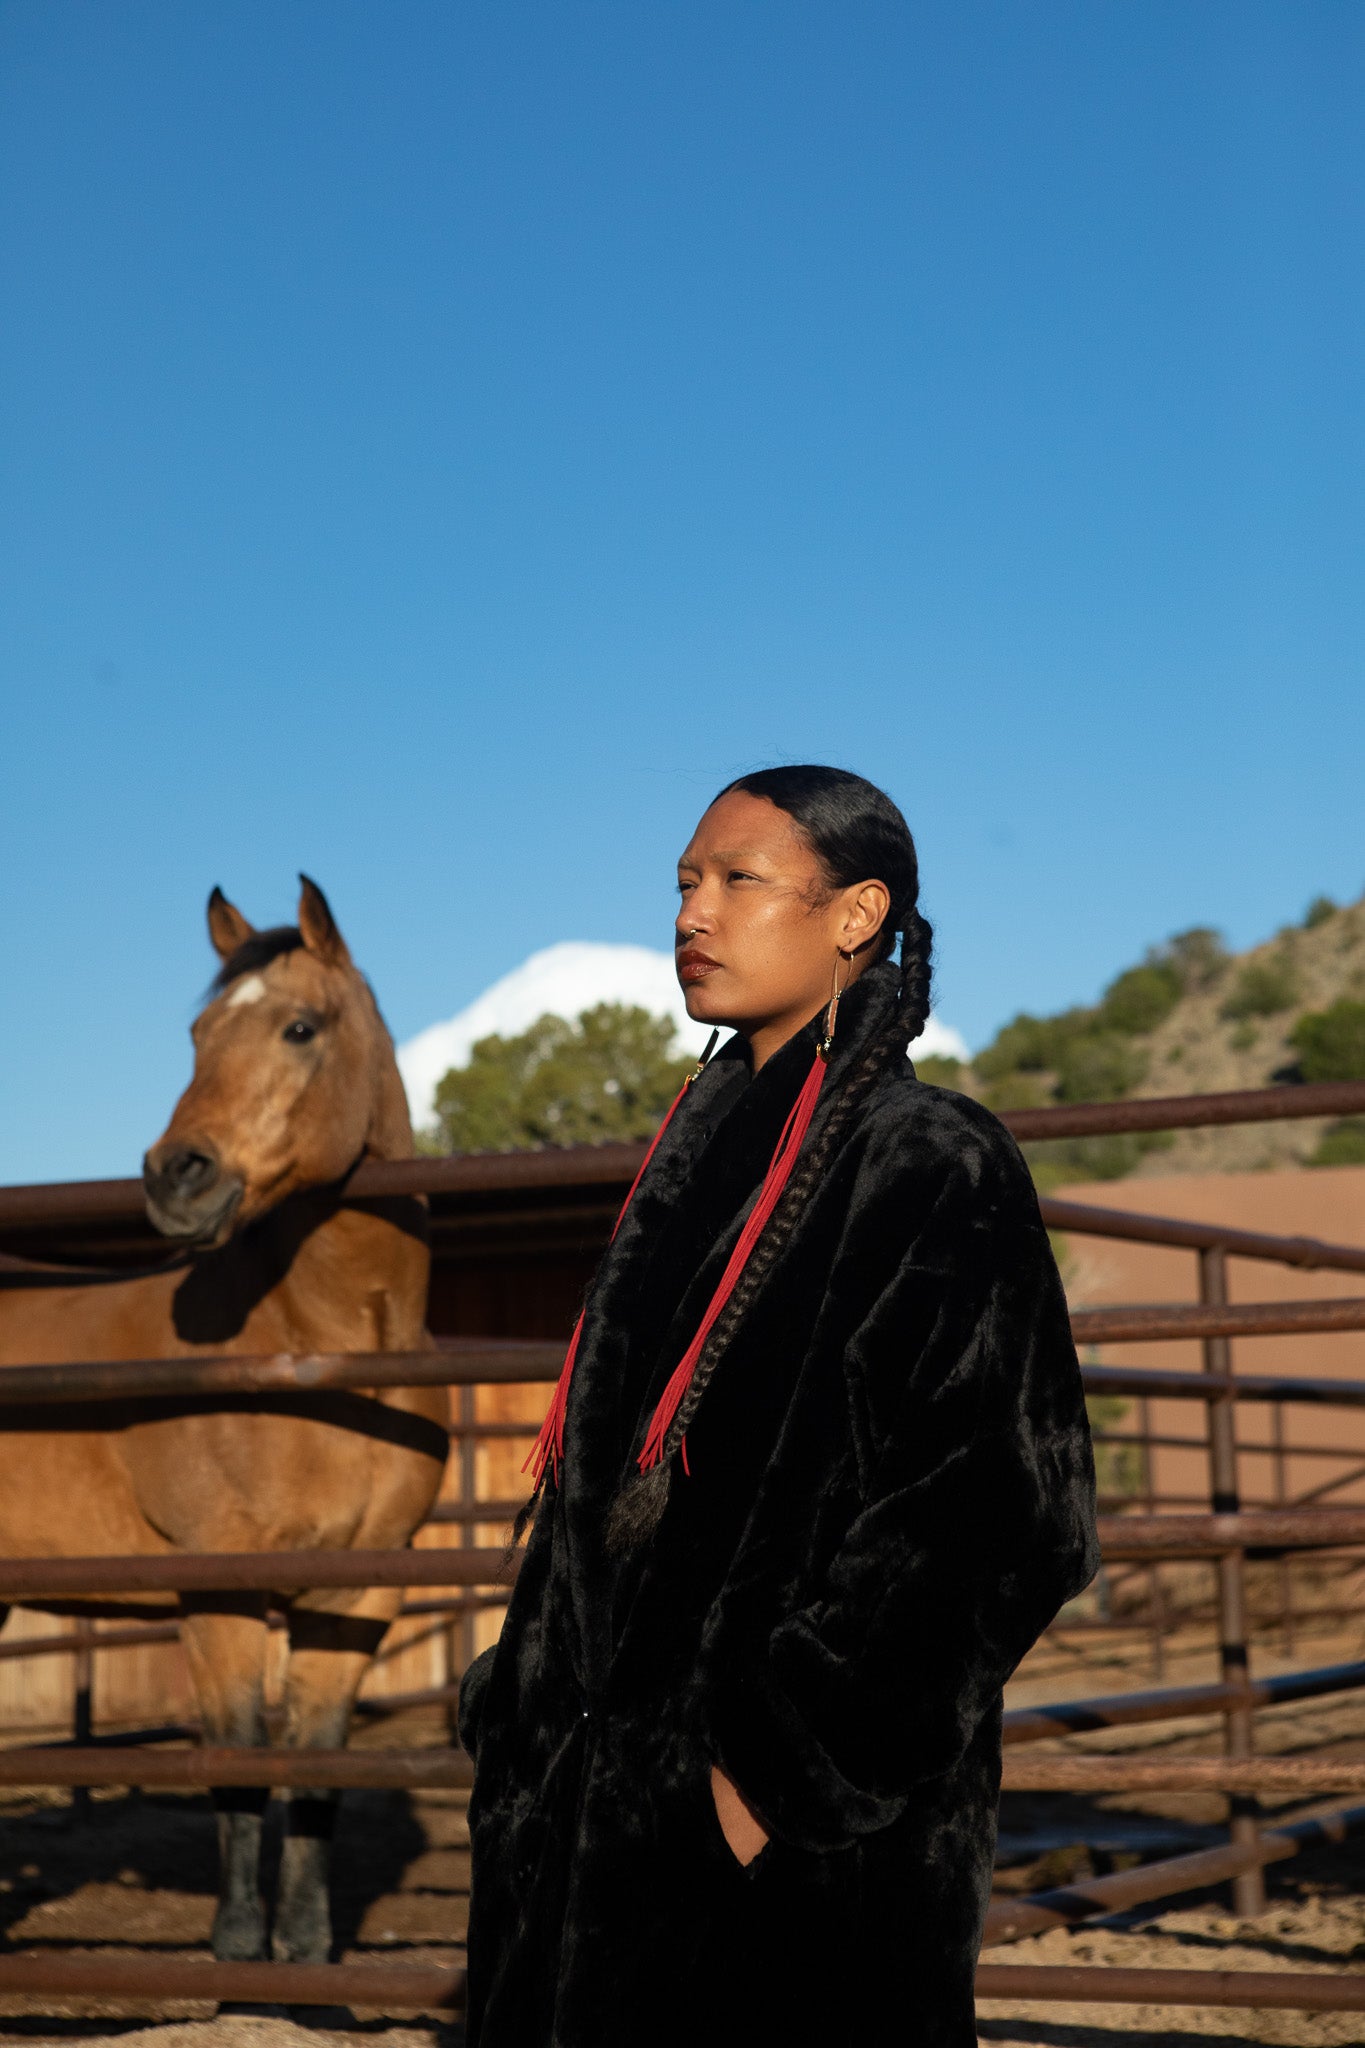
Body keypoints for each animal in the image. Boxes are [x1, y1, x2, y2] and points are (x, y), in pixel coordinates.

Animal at [0, 880, 448, 1966]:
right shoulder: (219, 1588)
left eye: (300, 1027)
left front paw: (310, 1949)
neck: (320, 1351)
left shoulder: (360, 1589)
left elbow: (321, 1767)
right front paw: (242, 1953)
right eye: (198, 1034)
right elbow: (241, 1762)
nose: (176, 1176)